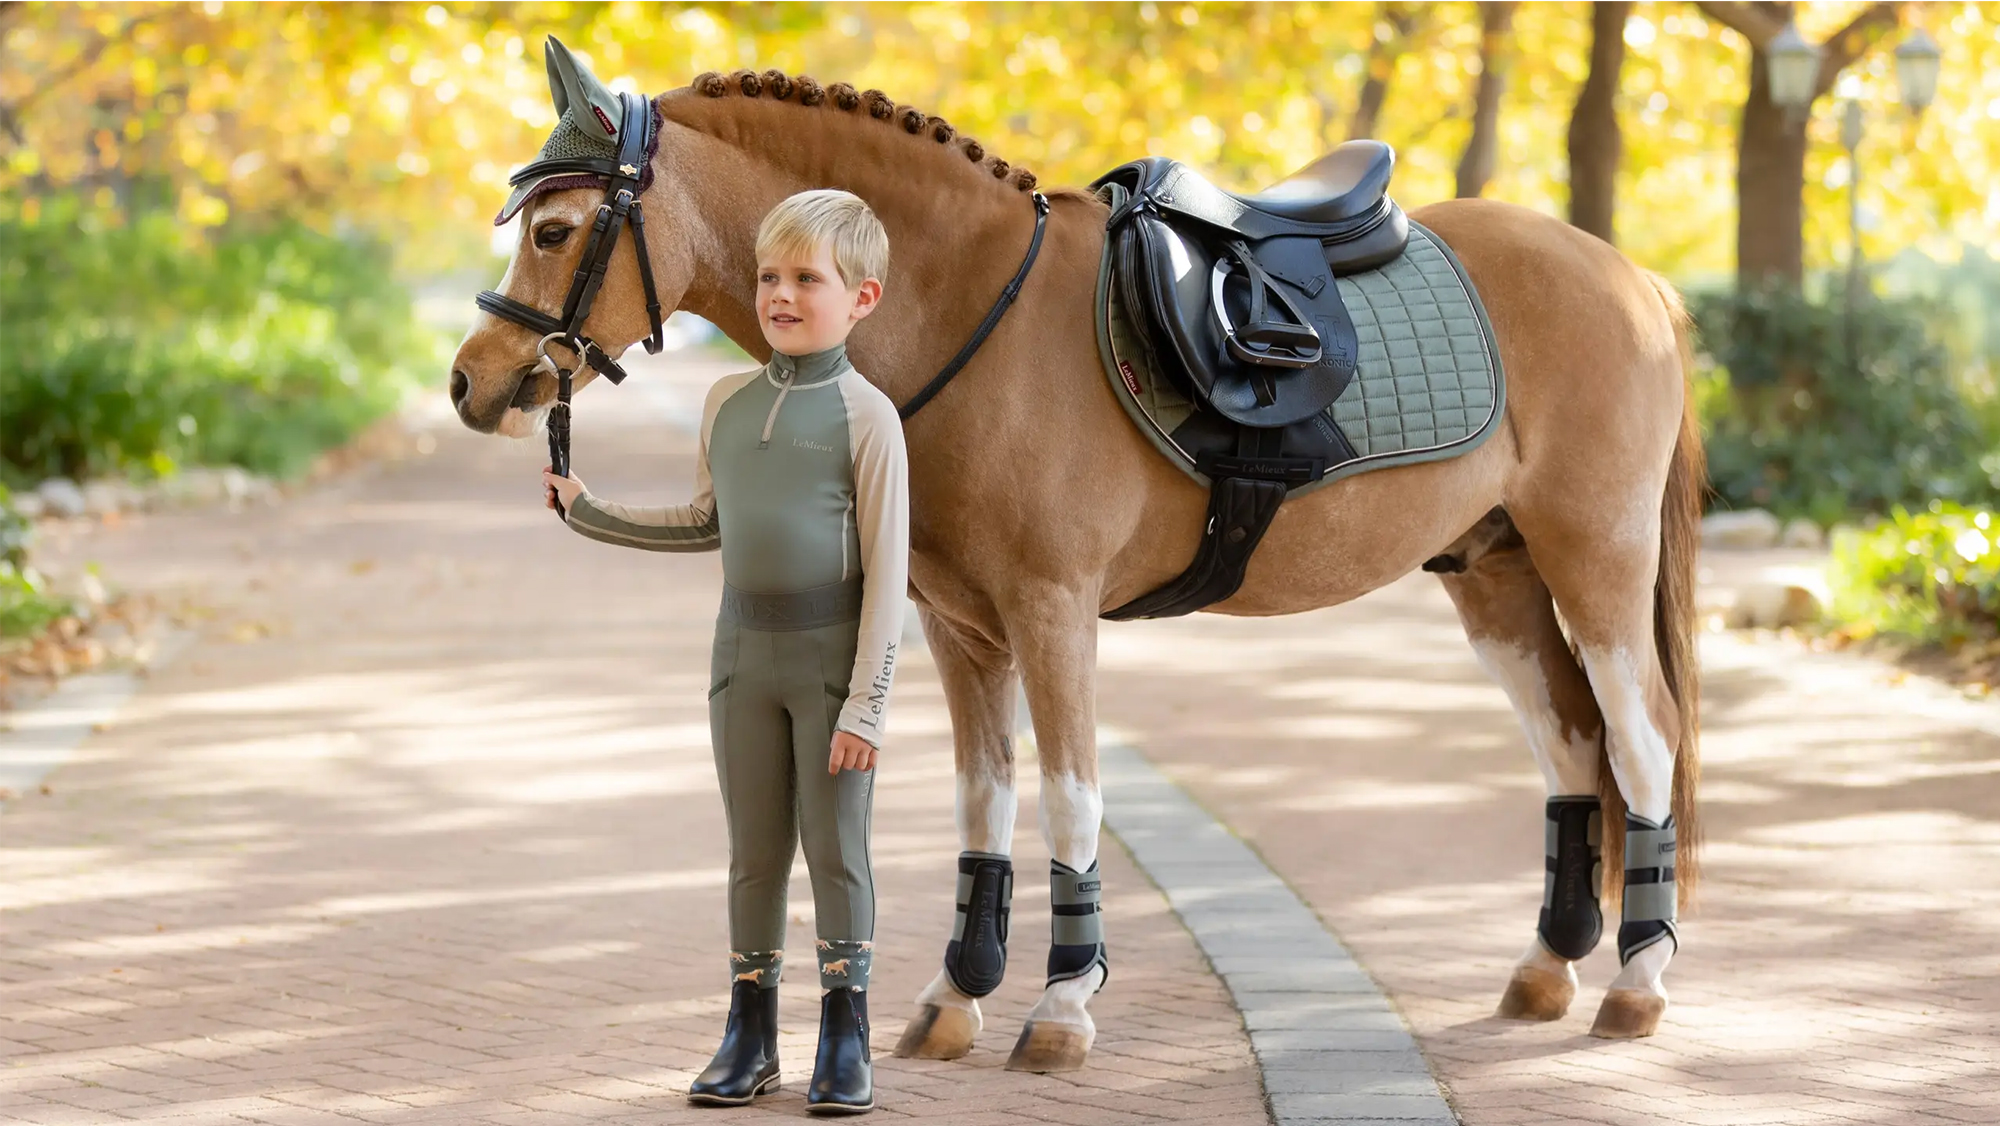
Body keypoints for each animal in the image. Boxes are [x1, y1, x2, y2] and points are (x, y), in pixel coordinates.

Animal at [449, 62, 1703, 1072]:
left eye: (554, 231)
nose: (471, 380)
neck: (968, 308)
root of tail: (1634, 279)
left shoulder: (1051, 611)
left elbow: (1067, 796)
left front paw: (1058, 1007)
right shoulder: (959, 627)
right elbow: (984, 799)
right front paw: (955, 996)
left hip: (1592, 558)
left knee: (1641, 735)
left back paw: (1638, 985)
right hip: (1495, 576)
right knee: (1572, 741)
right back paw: (1546, 968)